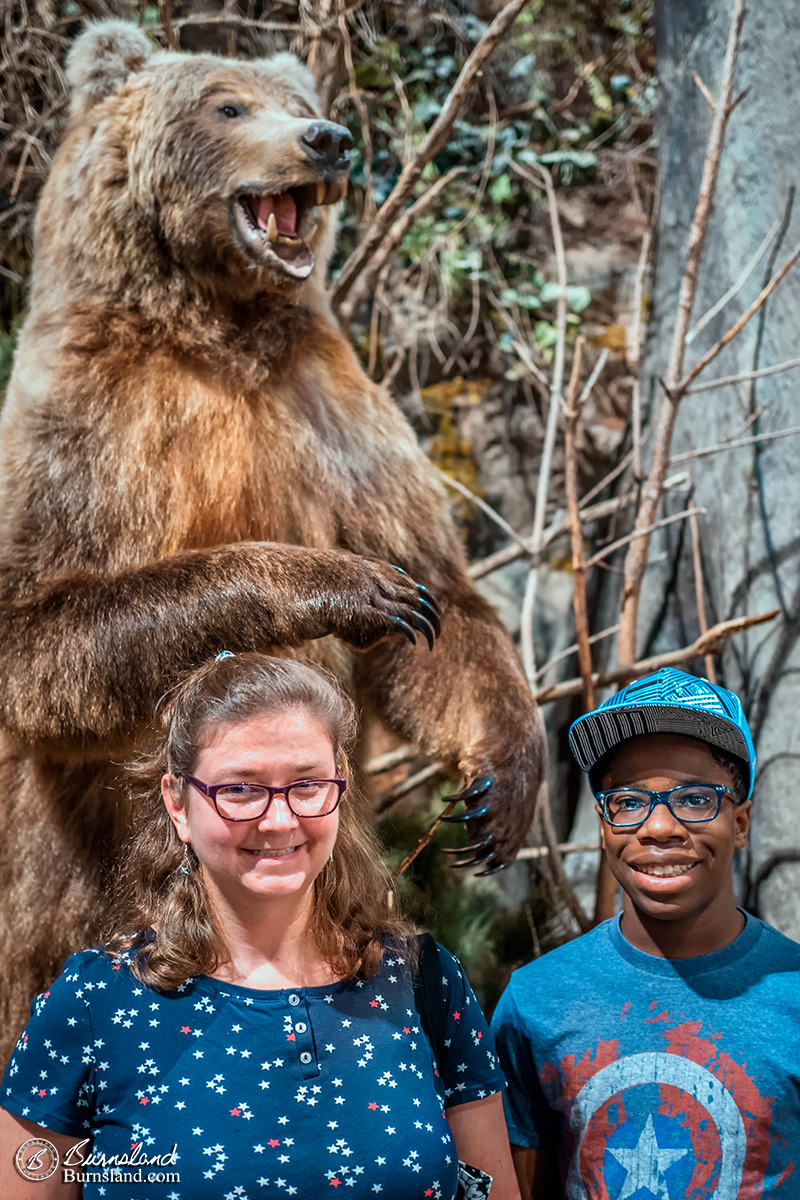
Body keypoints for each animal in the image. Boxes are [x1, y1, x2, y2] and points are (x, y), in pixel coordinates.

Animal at [0, 21, 544, 1060]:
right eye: (227, 104)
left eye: (300, 99)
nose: (329, 139)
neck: (215, 329)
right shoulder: (85, 422)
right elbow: (39, 627)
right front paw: (348, 585)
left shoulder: (331, 408)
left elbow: (444, 592)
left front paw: (499, 782)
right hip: (52, 876)